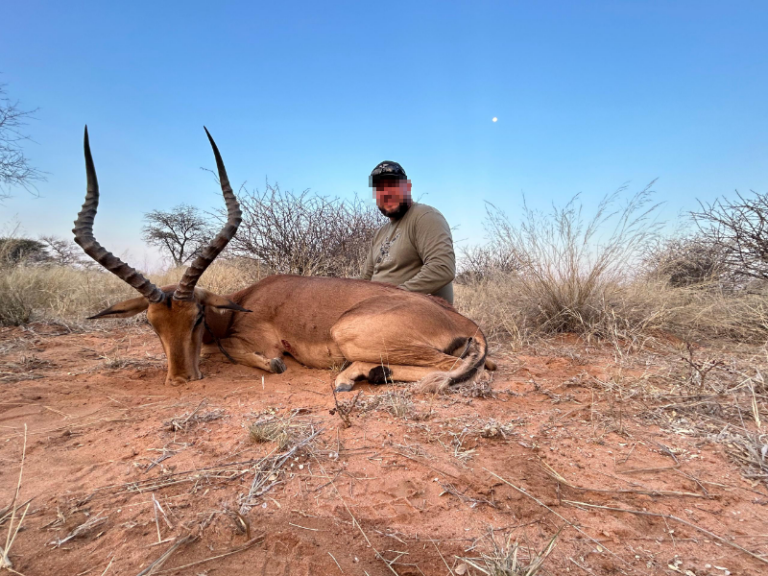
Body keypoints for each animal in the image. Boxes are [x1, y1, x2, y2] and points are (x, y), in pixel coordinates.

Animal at [74, 127, 492, 392]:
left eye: (196, 317)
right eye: (151, 323)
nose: (179, 379)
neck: (245, 301)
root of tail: (463, 321)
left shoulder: (259, 343)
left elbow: (238, 352)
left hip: (354, 334)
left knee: (462, 370)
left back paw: (349, 378)